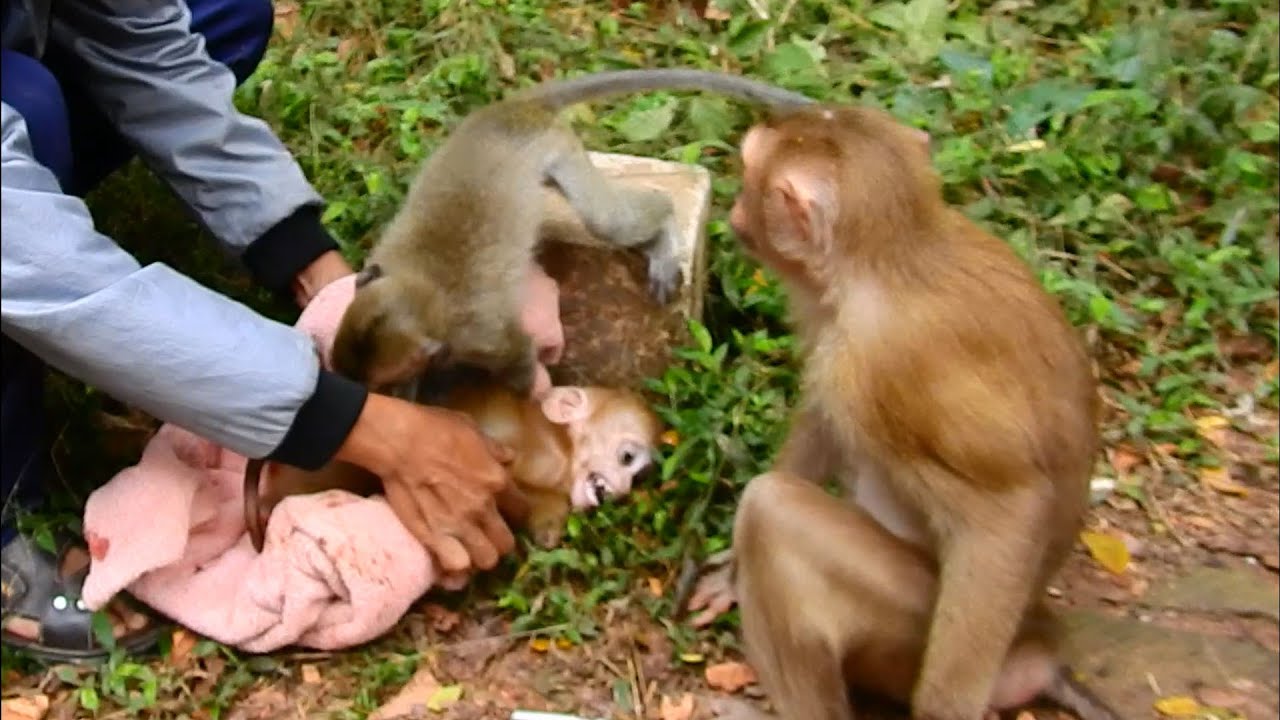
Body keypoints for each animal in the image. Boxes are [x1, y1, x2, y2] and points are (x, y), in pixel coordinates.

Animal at [329, 68, 814, 399]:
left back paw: (662, 226)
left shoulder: (484, 336)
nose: (370, 395)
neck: (422, 289)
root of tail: (508, 112)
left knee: (606, 219)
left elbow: (519, 364)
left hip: (555, 146)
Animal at [682, 105, 1121, 720]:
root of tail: (1034, 647)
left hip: (908, 628)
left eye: (750, 172)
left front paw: (941, 708)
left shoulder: (878, 368)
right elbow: (824, 423)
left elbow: (1011, 508)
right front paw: (729, 576)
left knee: (772, 511)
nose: (737, 206)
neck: (893, 261)